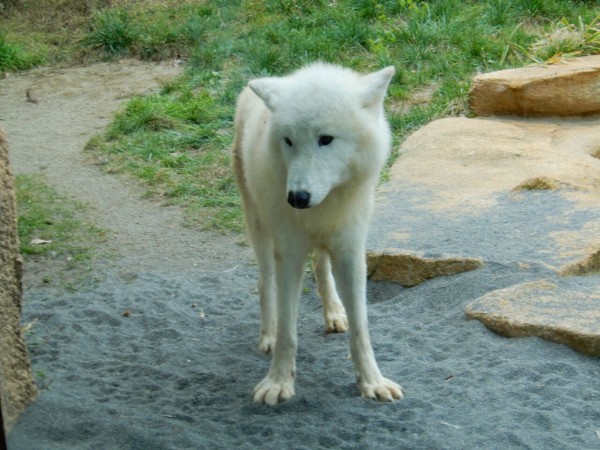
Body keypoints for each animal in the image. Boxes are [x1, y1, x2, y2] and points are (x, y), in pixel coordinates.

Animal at [231, 62, 404, 404]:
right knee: (264, 283)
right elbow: (288, 329)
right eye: (288, 141)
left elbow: (361, 328)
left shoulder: (350, 251)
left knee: (322, 268)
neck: (321, 208)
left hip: (324, 243)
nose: (297, 198)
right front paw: (278, 382)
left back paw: (335, 314)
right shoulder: (289, 254)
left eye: (326, 139)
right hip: (260, 229)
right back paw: (267, 335)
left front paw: (372, 382)